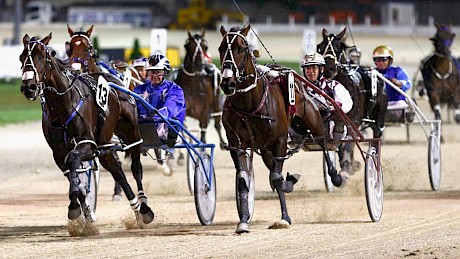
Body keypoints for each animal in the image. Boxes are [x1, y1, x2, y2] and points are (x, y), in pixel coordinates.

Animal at [19, 33, 155, 228]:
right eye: (21, 58)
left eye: (42, 56)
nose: (27, 87)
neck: (64, 105)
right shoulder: (59, 153)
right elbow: (73, 173)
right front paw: (86, 215)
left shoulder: (87, 144)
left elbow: (74, 159)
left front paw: (75, 206)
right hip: (105, 145)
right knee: (118, 173)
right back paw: (136, 211)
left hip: (131, 133)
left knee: (136, 168)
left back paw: (144, 208)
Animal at [219, 25, 344, 235]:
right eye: (221, 49)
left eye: (242, 48)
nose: (228, 83)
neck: (249, 105)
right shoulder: (238, 145)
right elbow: (244, 181)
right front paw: (243, 221)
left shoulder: (280, 140)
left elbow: (277, 179)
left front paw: (284, 217)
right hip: (265, 149)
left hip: (312, 118)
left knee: (322, 140)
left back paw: (335, 176)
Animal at [316, 27, 388, 175]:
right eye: (320, 47)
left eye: (340, 47)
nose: (328, 69)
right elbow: (338, 143)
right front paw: (350, 165)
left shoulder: (353, 120)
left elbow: (348, 143)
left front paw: (348, 167)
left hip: (379, 117)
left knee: (376, 136)